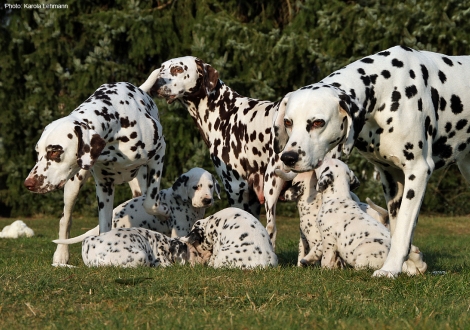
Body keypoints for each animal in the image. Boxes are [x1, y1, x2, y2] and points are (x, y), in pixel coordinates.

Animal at [24, 82, 167, 266]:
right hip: (73, 186)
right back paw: (61, 254)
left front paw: (164, 212)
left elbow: (150, 203)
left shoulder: (159, 154)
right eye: (38, 152)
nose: (28, 183)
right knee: (65, 219)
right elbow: (104, 228)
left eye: (54, 151)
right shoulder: (104, 187)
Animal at [140, 57, 286, 248]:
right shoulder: (253, 197)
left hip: (271, 189)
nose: (156, 83)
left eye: (177, 69)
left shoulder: (236, 188)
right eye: (162, 68)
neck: (227, 112)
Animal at [274, 45, 468, 278]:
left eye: (318, 122)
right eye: (288, 122)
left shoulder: (417, 171)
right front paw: (411, 264)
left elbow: (402, 231)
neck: (386, 88)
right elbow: (395, 229)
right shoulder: (391, 179)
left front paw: (390, 268)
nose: (288, 158)